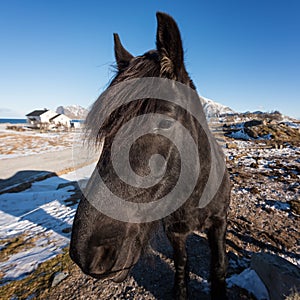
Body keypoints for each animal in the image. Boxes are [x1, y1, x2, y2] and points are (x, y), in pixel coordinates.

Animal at [70, 12, 230, 300]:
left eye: (164, 123)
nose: (87, 254)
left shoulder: (219, 223)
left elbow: (219, 267)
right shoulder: (175, 232)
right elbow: (181, 265)